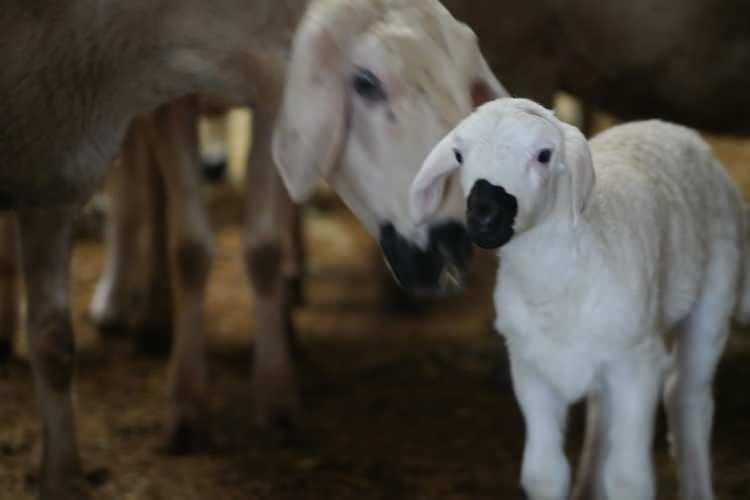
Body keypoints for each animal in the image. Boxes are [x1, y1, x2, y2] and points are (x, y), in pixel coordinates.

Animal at [412, 95, 750, 498]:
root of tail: (670, 128)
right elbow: (544, 473)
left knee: (687, 396)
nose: (484, 215)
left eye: (544, 155)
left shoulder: (636, 365)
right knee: (603, 411)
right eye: (459, 155)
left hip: (714, 292)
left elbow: (629, 478)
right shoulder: (530, 368)